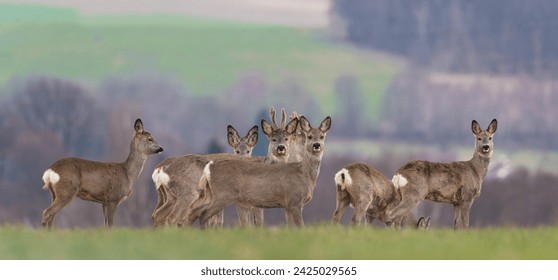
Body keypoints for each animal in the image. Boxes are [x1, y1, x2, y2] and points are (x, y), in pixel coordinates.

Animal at [149, 107, 300, 228]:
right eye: (273, 139)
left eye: (287, 138)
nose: (281, 148)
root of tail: (161, 169)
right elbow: (253, 223)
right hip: (188, 192)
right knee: (173, 217)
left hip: (170, 196)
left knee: (158, 214)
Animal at [190, 115, 332, 228]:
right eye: (309, 136)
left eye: (322, 136)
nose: (316, 145)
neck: (304, 174)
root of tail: (209, 168)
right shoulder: (294, 200)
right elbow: (300, 227)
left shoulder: (289, 205)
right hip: (223, 195)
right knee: (204, 214)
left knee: (195, 210)